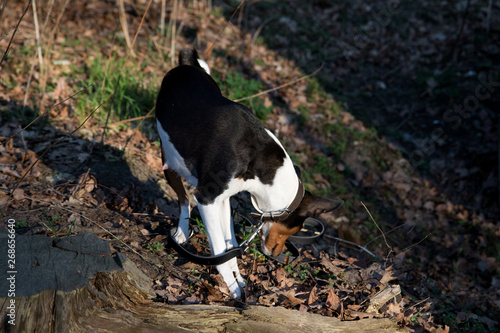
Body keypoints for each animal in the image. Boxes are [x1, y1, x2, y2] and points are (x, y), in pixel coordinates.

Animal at [156, 48, 344, 296]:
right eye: (296, 229)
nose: (277, 254)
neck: (262, 166)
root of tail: (186, 65)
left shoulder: (223, 199)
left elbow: (231, 246)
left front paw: (239, 280)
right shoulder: (207, 199)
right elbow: (220, 253)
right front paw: (233, 288)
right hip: (169, 162)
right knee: (183, 198)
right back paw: (181, 232)